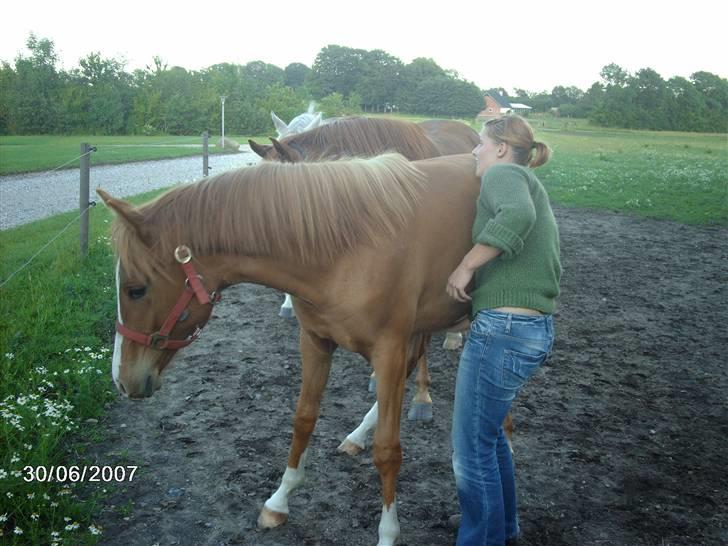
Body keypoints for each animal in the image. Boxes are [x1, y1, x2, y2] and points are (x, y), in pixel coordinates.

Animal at [101, 153, 484, 544]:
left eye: (135, 289)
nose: (122, 379)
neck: (348, 247)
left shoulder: (389, 349)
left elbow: (388, 450)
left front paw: (388, 533)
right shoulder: (315, 341)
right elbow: (303, 419)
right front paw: (279, 500)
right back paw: (359, 434)